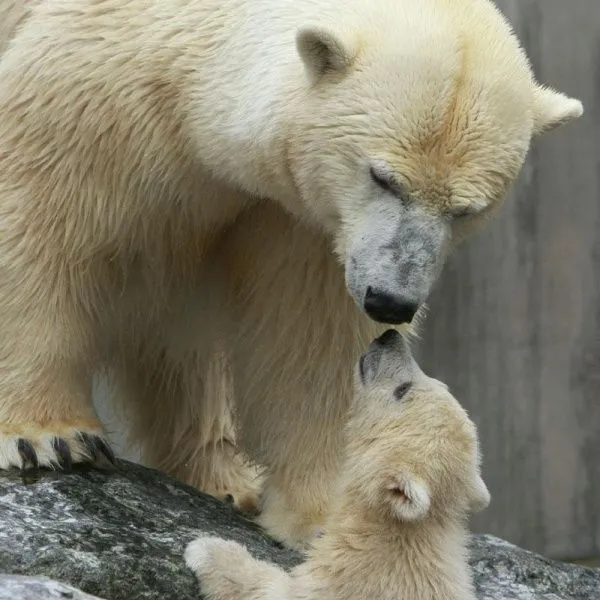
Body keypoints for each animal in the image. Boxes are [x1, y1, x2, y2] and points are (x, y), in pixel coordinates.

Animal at [0, 0, 584, 548]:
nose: (390, 301)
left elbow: (309, 337)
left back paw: (228, 480)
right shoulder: (94, 96)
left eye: (466, 210)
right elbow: (38, 224)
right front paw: (50, 438)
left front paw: (328, 512)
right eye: (383, 177)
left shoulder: (304, 217)